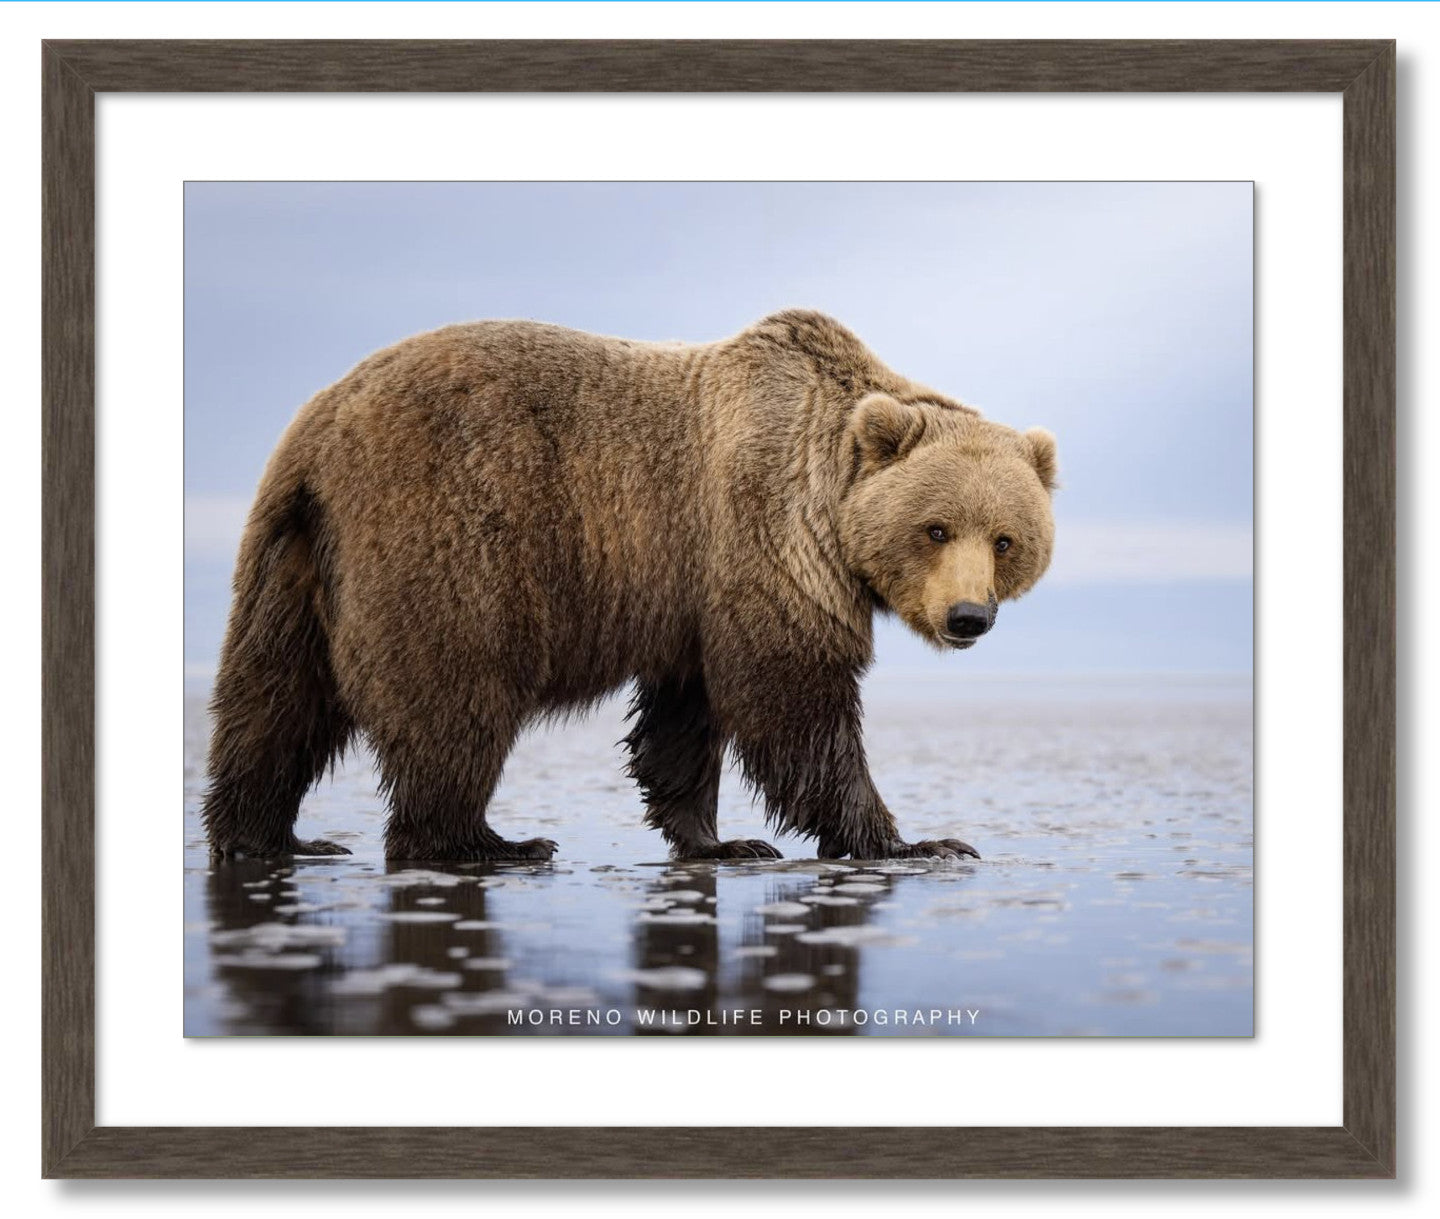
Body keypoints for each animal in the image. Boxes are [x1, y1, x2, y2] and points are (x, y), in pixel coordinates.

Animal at [201, 310, 1057, 864]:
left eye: (1006, 539)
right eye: (936, 528)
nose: (968, 616)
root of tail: (320, 429)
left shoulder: (691, 591)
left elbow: (686, 715)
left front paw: (721, 840)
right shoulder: (763, 535)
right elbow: (793, 697)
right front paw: (918, 840)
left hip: (292, 559)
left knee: (275, 700)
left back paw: (270, 835)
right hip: (447, 531)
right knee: (454, 695)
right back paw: (486, 841)